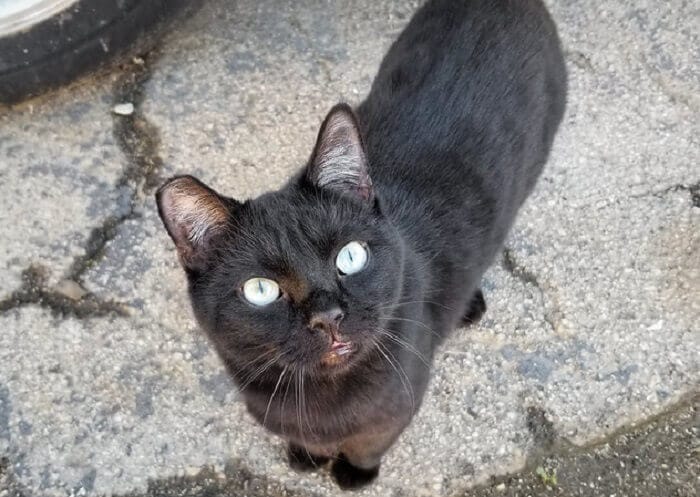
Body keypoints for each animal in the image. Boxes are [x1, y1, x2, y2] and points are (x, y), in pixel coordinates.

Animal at [156, 0, 566, 489]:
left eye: (350, 256)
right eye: (261, 290)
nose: (328, 316)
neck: (314, 398)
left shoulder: (398, 403)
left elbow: (370, 443)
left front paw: (353, 474)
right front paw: (306, 455)